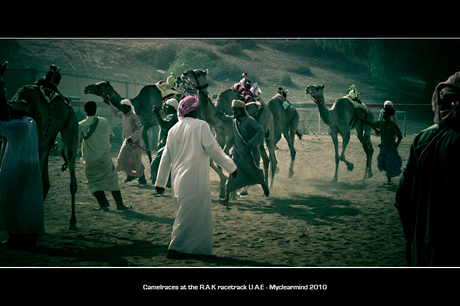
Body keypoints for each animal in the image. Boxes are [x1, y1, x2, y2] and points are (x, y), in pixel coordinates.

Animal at [0, 61, 79, 230]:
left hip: (70, 126)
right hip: (47, 142)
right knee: (45, 181)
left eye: (1, 80)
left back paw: (72, 222)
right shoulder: (5, 141)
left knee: (71, 176)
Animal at [181, 68, 278, 196]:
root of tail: (268, 109)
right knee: (265, 159)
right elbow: (214, 159)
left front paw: (230, 190)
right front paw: (223, 190)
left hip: (266, 128)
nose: (184, 74)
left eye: (197, 73)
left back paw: (265, 188)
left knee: (269, 158)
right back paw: (253, 189)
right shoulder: (219, 135)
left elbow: (227, 156)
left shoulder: (232, 135)